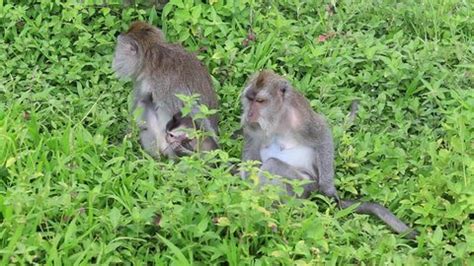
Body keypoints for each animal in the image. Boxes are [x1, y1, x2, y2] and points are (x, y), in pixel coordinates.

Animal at [241, 70, 418, 239]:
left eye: (260, 101)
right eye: (250, 99)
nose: (249, 114)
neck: (277, 117)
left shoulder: (301, 116)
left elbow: (323, 135)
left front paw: (328, 190)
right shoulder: (252, 127)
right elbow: (251, 151)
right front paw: (244, 188)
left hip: (304, 186)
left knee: (273, 164)